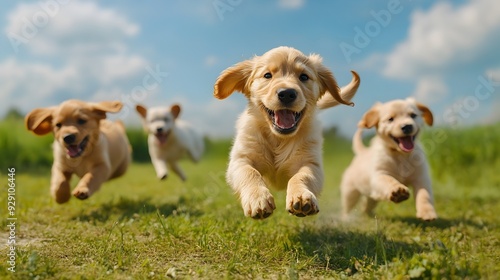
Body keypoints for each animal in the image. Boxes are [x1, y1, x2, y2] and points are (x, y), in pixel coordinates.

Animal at [213, 46, 362, 220]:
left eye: (304, 76)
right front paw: (258, 200)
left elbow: (302, 176)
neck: (278, 138)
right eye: (267, 75)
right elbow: (250, 173)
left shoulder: (311, 163)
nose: (286, 93)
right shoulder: (240, 159)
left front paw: (302, 198)